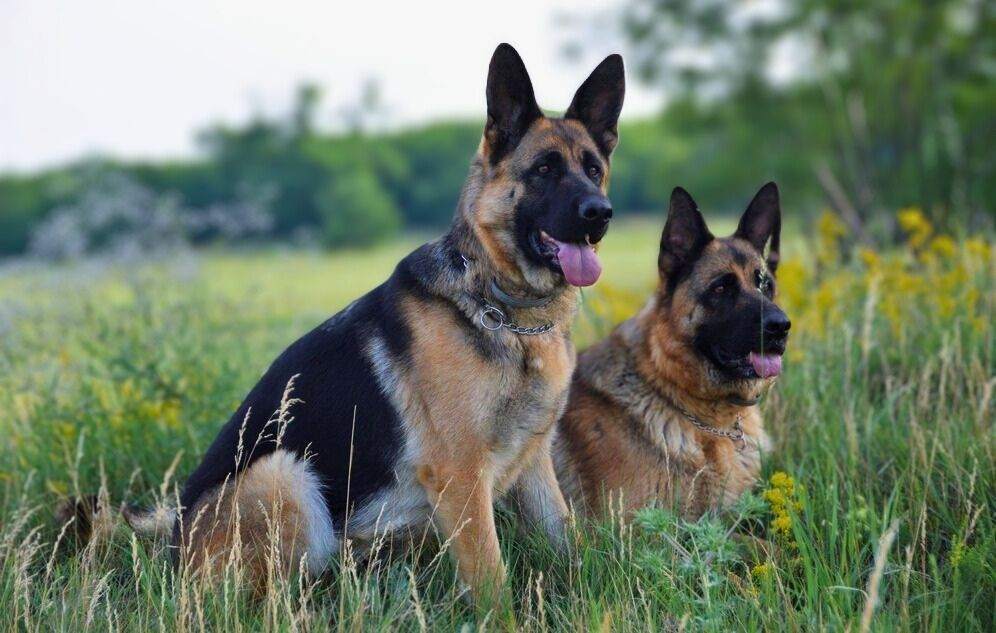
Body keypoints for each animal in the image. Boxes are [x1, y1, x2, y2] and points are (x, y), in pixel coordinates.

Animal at [120, 44, 624, 596]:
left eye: (592, 169)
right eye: (544, 170)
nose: (600, 213)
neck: (505, 311)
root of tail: (173, 548)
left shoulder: (534, 465)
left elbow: (567, 542)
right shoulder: (461, 476)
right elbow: (493, 584)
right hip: (286, 475)